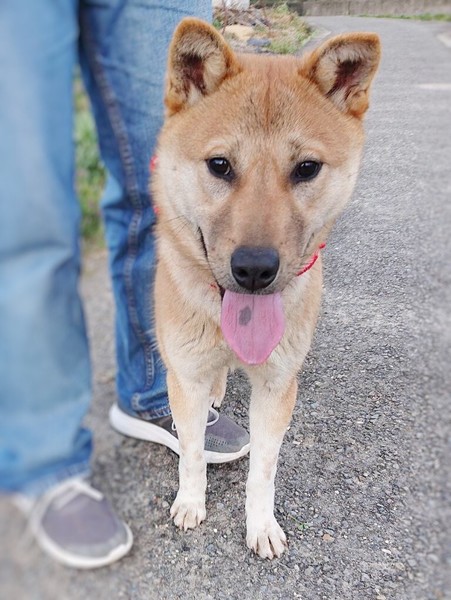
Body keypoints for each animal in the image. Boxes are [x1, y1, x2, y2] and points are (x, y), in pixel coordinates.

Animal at [152, 18, 380, 559]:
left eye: (306, 168)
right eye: (219, 165)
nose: (254, 269)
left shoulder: (278, 386)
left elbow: (264, 470)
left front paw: (261, 526)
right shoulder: (184, 377)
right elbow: (191, 452)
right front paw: (190, 502)